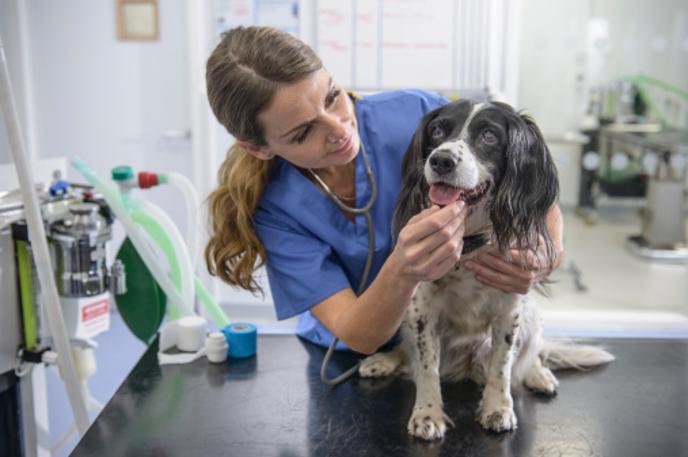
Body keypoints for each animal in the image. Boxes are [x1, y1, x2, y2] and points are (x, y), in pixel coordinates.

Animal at [360, 99, 612, 438]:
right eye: (437, 130)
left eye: (489, 136)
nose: (441, 160)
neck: (469, 242)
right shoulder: (422, 309)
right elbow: (426, 368)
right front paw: (427, 413)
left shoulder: (509, 311)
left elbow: (501, 367)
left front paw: (498, 408)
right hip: (406, 314)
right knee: (408, 352)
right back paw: (384, 360)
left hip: (531, 315)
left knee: (532, 354)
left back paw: (539, 374)